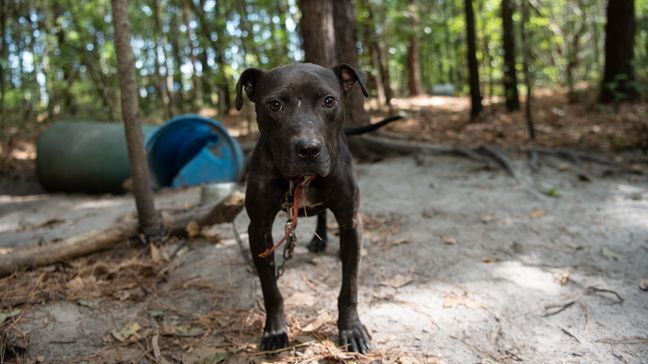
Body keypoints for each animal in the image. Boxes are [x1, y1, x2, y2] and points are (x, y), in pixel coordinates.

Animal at [235, 62, 388, 352]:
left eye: (329, 101)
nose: (308, 149)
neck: (301, 179)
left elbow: (349, 287)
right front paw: (274, 330)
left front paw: (351, 329)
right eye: (274, 105)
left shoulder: (351, 219)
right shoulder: (258, 229)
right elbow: (270, 288)